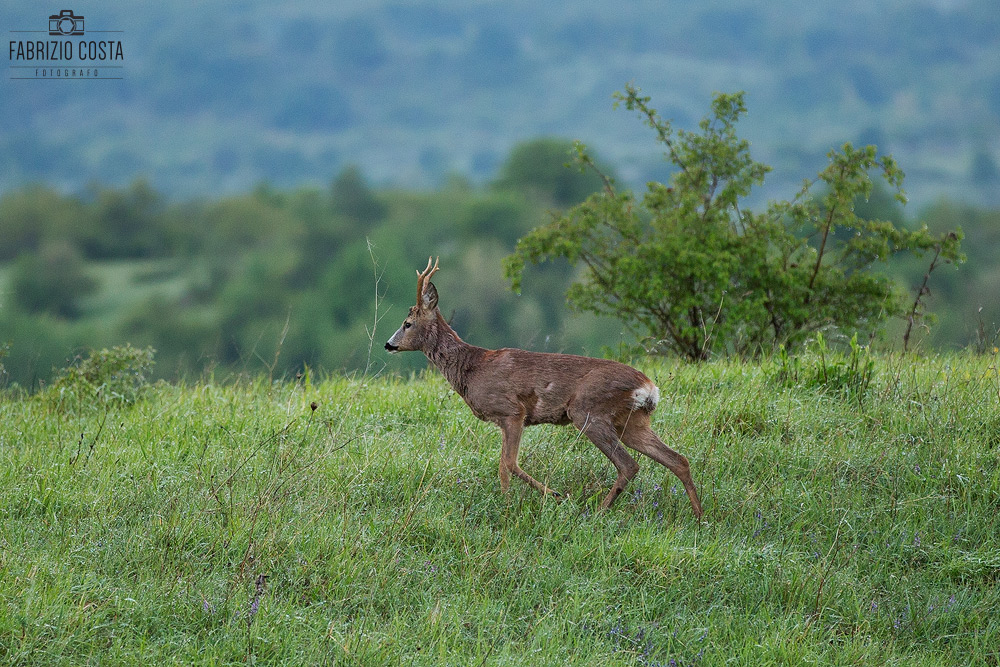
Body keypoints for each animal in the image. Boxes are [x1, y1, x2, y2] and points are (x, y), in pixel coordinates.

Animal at [382, 258, 704, 520]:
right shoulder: (505, 420)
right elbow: (502, 467)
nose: (388, 344)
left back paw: (598, 511)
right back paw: (699, 515)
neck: (471, 368)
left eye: (407, 323)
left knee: (629, 465)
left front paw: (549, 497)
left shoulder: (512, 411)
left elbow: (509, 464)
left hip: (588, 411)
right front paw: (509, 504)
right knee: (678, 459)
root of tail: (649, 387)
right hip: (632, 420)